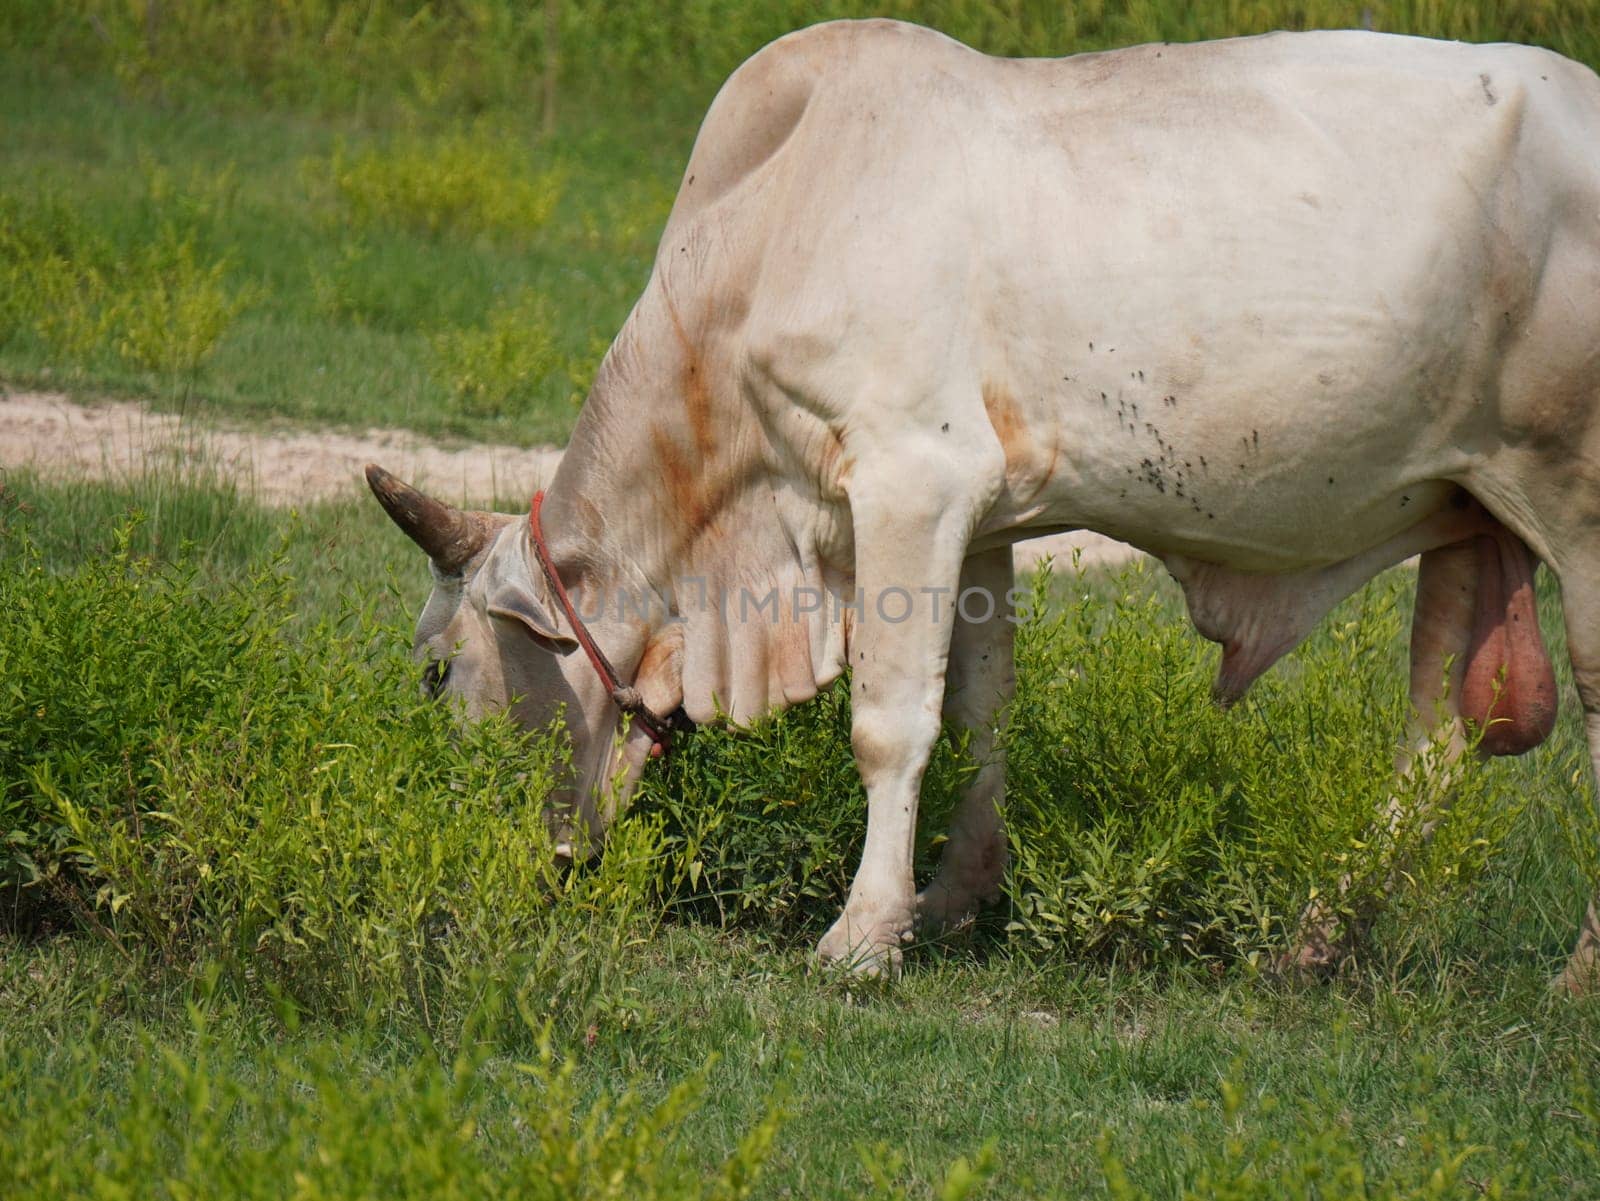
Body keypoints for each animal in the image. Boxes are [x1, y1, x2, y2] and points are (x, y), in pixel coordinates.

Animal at [368, 18, 1600, 991]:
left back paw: (1572, 978)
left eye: (437, 671)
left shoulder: (913, 481)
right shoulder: (981, 525)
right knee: (1435, 738)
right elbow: (977, 711)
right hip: (1469, 513)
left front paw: (864, 935)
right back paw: (1316, 939)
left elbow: (891, 721)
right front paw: (951, 900)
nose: (467, 860)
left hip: (1579, 512)